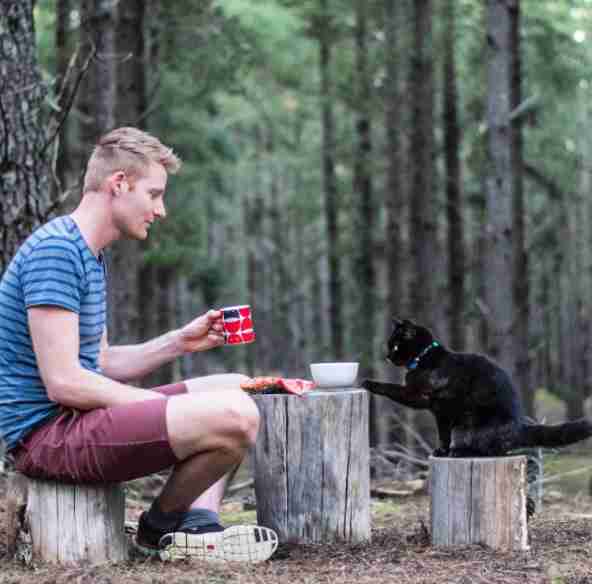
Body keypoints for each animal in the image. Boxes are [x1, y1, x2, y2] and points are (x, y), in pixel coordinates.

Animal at [360, 318, 592, 458]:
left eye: (395, 345)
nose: (387, 356)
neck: (425, 357)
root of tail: (520, 427)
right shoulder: (428, 404)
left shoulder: (432, 403)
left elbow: (393, 390)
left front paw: (368, 382)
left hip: (468, 426)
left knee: (490, 450)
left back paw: (460, 452)